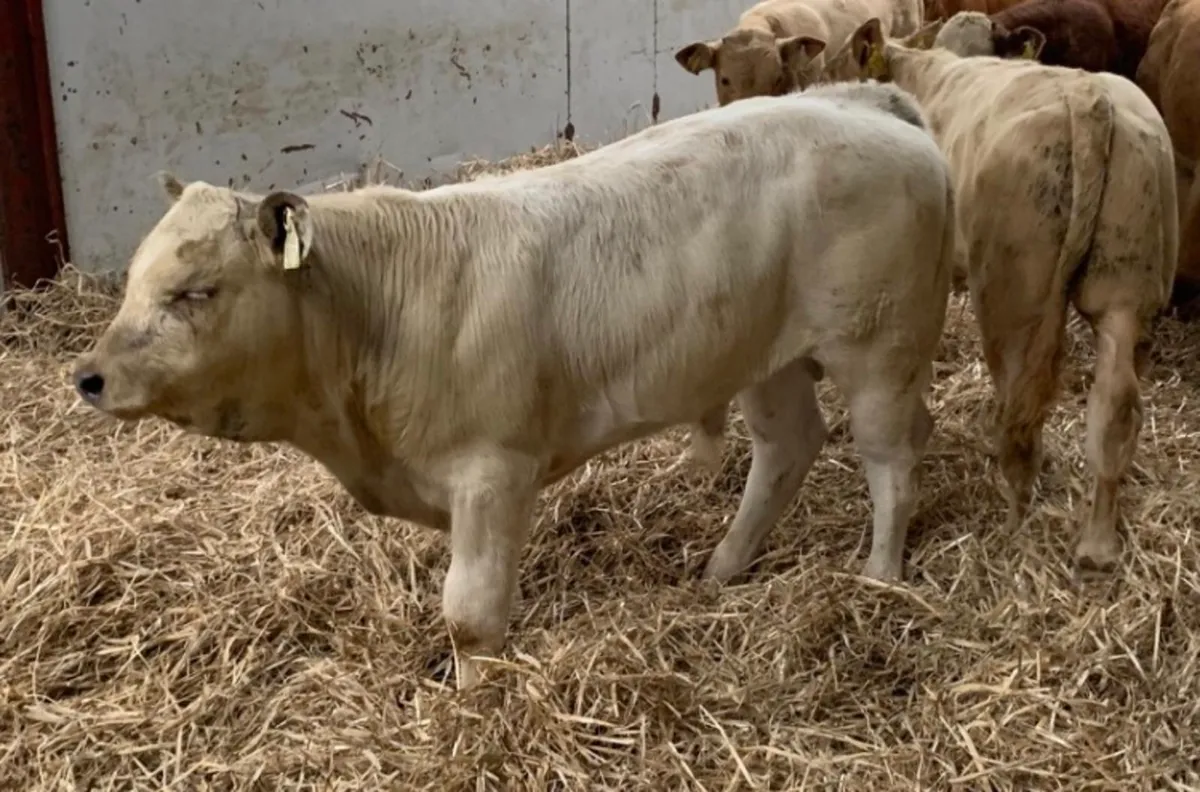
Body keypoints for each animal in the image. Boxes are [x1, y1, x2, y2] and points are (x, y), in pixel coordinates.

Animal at [71, 82, 957, 690]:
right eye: (135, 279)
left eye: (197, 292)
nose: (89, 376)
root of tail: (859, 100)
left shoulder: (493, 472)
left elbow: (470, 613)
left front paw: (475, 702)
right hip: (764, 359)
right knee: (787, 447)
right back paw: (723, 568)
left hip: (878, 351)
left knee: (892, 460)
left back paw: (880, 578)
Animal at [818, 13, 1178, 574]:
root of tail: (1087, 94)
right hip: (1126, 288)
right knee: (1114, 409)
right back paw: (1097, 545)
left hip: (1015, 300)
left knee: (1019, 414)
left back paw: (1014, 518)